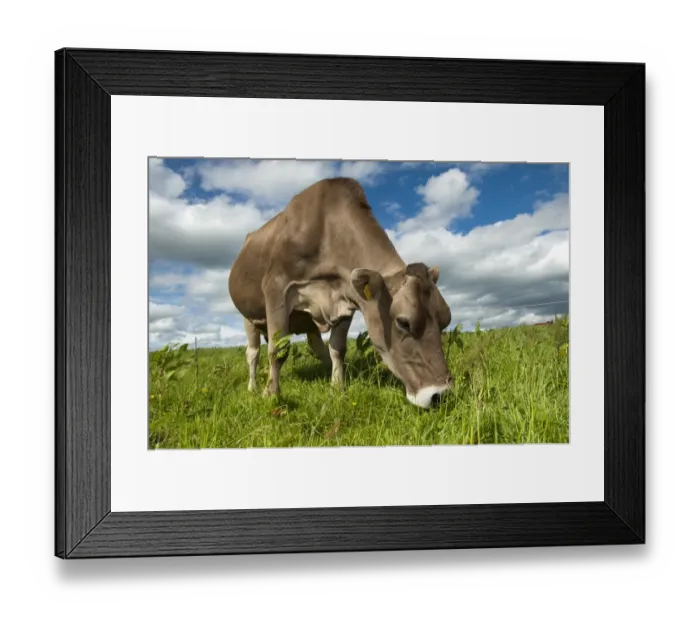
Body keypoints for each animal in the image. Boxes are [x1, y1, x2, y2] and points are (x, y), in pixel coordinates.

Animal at [228, 177, 453, 409]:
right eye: (403, 322)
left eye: (446, 321)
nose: (439, 395)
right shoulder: (276, 288)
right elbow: (278, 350)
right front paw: (271, 394)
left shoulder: (346, 301)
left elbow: (338, 348)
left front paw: (337, 388)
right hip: (249, 317)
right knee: (252, 353)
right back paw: (252, 387)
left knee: (316, 344)